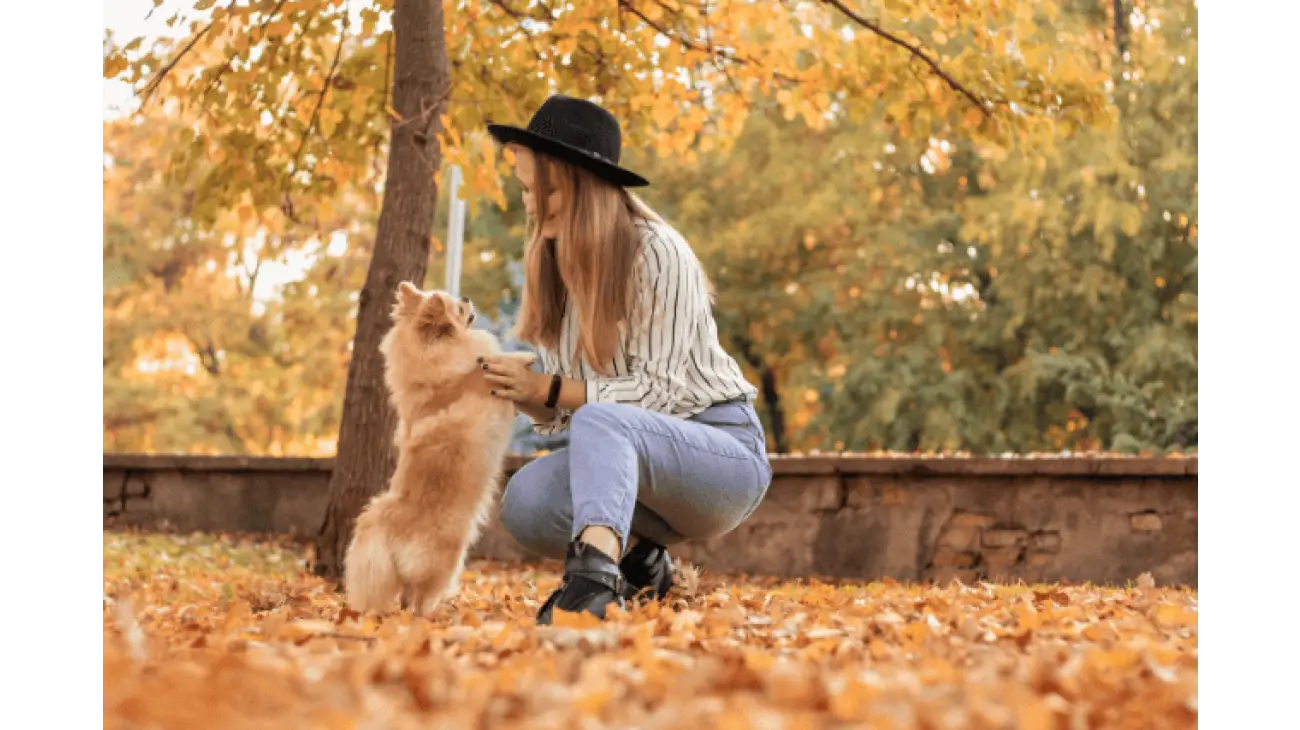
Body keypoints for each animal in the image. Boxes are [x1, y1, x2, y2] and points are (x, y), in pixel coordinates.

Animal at [345, 281, 533, 610]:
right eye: (458, 308)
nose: (466, 297)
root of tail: (387, 524)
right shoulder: (479, 383)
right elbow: (485, 369)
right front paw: (524, 358)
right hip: (446, 558)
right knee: (420, 597)